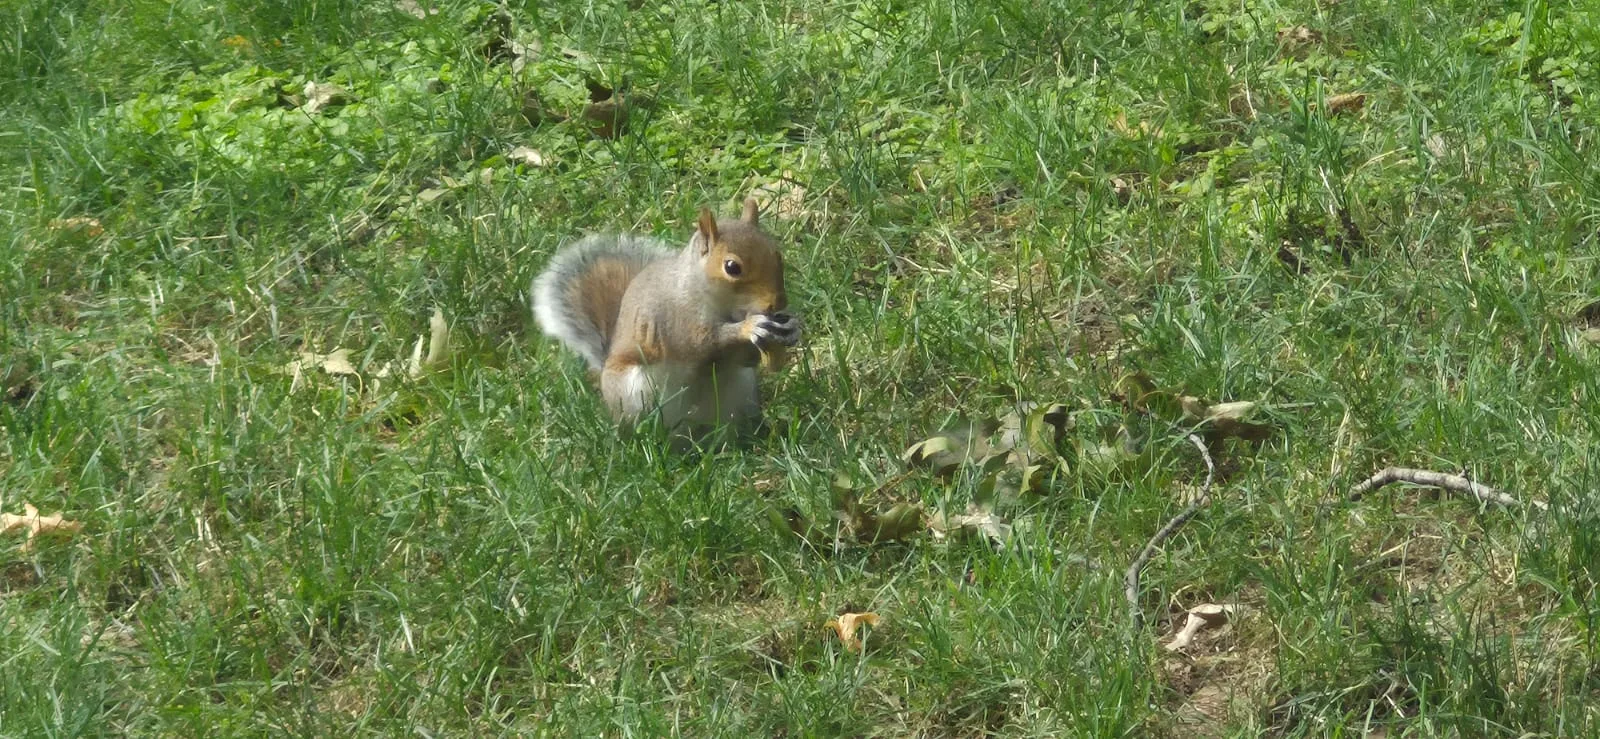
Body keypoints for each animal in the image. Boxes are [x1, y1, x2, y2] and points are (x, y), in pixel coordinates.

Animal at [532, 197, 802, 432]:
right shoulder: (674, 320)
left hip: (741, 394)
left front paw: (792, 327)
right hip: (634, 393)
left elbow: (744, 359)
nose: (779, 302)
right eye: (732, 267)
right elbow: (703, 343)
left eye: (777, 254)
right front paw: (750, 327)